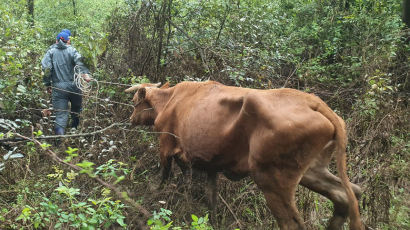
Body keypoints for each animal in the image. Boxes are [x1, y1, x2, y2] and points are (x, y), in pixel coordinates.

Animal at [125, 81, 362, 230]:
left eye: (135, 101)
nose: (130, 119)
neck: (170, 100)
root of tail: (315, 103)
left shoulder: (166, 145)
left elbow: (163, 176)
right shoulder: (211, 165)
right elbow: (210, 196)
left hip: (273, 180)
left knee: (291, 223)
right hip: (312, 170)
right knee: (346, 194)